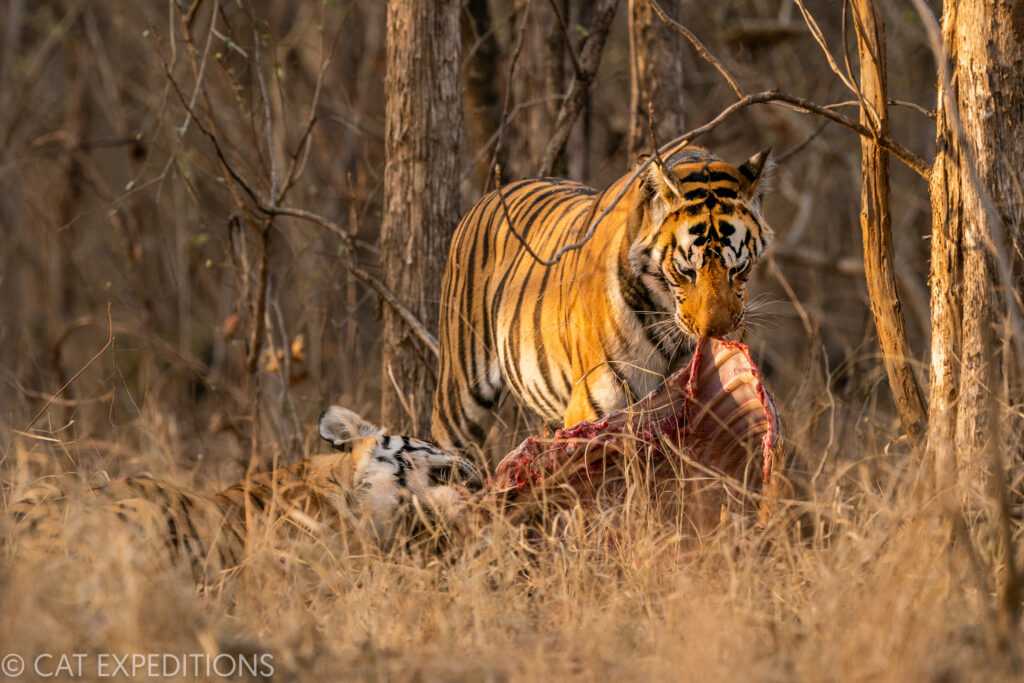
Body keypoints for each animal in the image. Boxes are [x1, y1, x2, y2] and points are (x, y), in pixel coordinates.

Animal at [432, 145, 774, 454]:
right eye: (685, 271)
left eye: (738, 269)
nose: (714, 334)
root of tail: (492, 195)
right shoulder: (594, 405)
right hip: (461, 397)